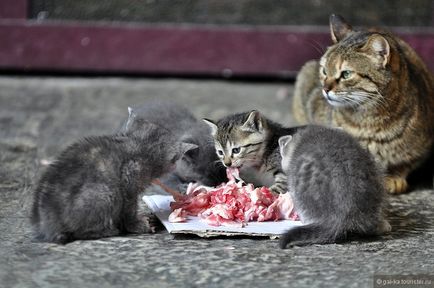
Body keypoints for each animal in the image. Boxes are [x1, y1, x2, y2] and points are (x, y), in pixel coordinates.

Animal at [32, 121, 197, 243]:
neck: (137, 144)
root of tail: (49, 223)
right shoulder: (130, 178)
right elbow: (129, 208)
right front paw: (138, 225)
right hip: (104, 193)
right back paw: (107, 230)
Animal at [292, 13, 434, 194]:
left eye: (346, 74)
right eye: (324, 70)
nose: (325, 89)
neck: (368, 121)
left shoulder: (422, 147)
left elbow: (404, 163)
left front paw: (394, 177)